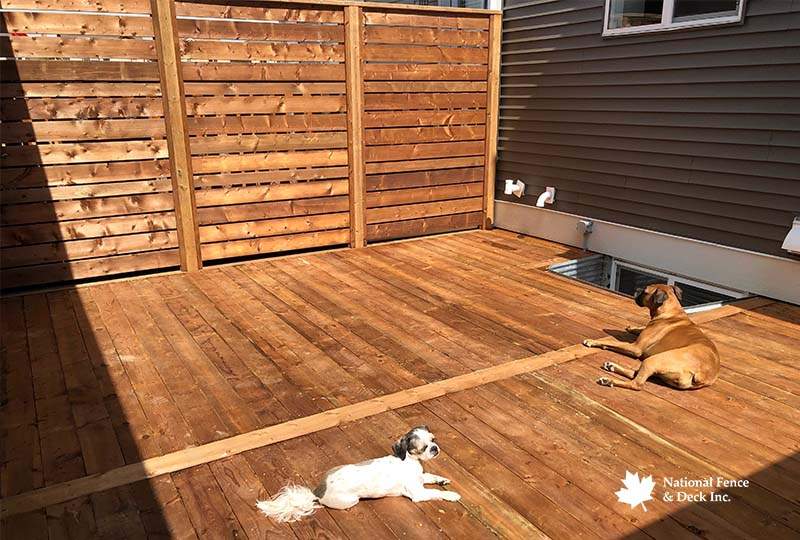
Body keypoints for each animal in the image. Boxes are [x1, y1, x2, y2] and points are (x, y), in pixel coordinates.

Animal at [256, 426, 462, 524]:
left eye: (434, 440)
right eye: (423, 448)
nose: (435, 448)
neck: (410, 462)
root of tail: (317, 491)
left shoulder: (422, 478)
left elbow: (432, 477)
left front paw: (443, 480)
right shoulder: (418, 493)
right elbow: (437, 493)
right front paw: (452, 495)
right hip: (350, 501)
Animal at [580, 284, 720, 390]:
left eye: (645, 291)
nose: (636, 289)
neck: (671, 312)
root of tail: (704, 375)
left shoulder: (635, 348)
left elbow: (612, 342)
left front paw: (592, 341)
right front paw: (633, 328)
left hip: (652, 360)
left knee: (636, 384)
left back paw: (609, 381)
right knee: (634, 374)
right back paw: (612, 366)